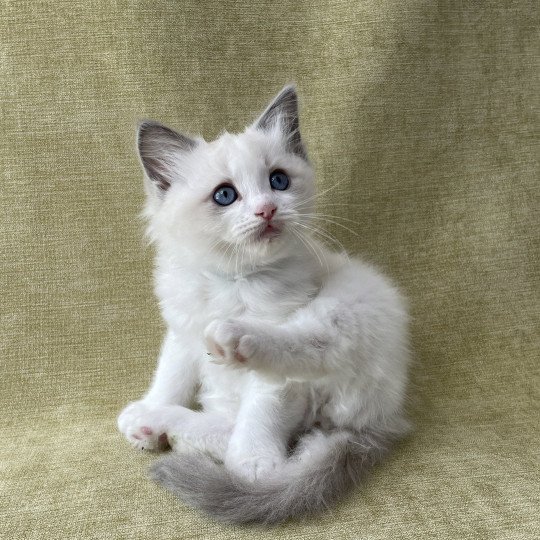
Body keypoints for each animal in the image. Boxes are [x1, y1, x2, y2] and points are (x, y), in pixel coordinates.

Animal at [118, 85, 410, 524]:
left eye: (278, 180)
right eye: (225, 195)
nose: (267, 209)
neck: (232, 282)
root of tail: (380, 423)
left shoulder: (283, 327)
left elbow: (263, 407)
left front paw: (253, 464)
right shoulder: (183, 333)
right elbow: (171, 378)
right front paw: (154, 409)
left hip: (343, 309)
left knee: (298, 356)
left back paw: (229, 346)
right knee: (226, 425)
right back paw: (154, 422)